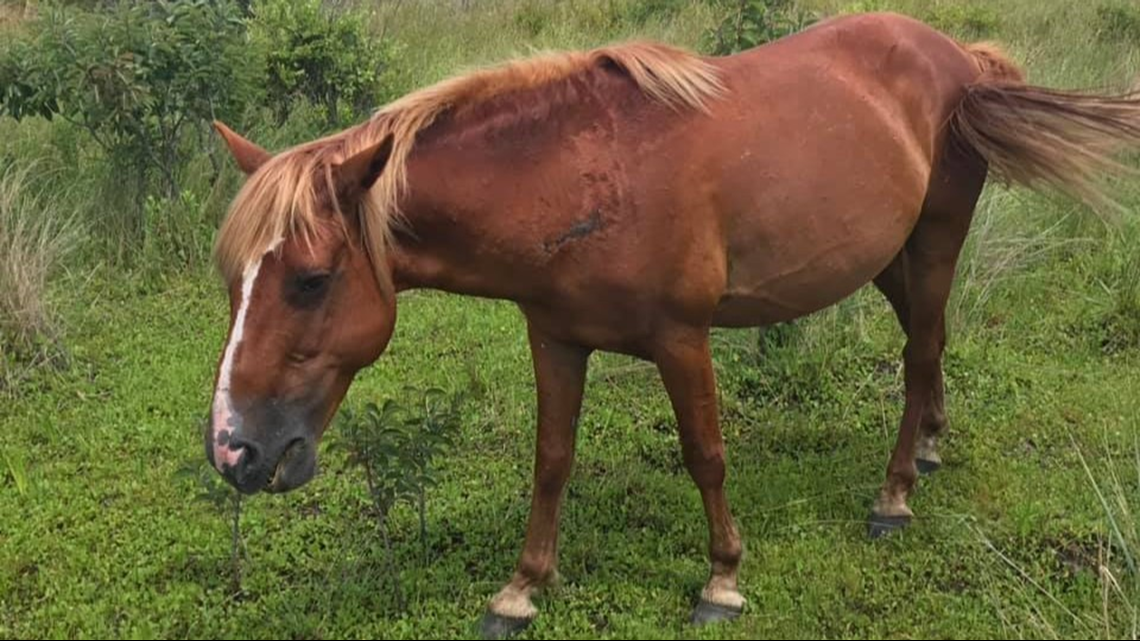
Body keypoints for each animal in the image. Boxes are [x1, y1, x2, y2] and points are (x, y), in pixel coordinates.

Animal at [203, 10, 1140, 638]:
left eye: (311, 281)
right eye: (234, 281)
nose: (235, 450)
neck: (575, 180)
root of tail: (959, 56)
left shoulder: (681, 340)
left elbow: (706, 454)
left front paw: (721, 581)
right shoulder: (555, 337)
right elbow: (552, 459)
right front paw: (521, 589)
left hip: (937, 236)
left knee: (919, 353)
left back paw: (895, 493)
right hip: (885, 253)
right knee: (928, 343)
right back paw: (935, 447)